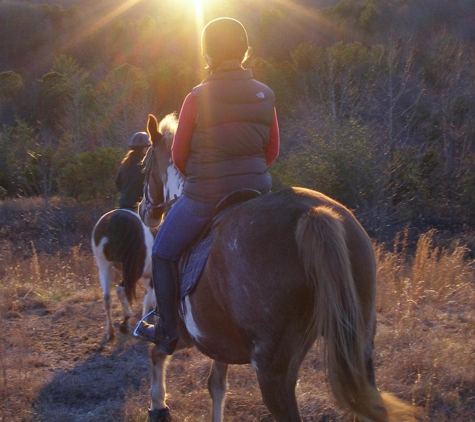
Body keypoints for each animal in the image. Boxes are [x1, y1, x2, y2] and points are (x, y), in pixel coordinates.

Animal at [93, 209, 158, 342]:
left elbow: (149, 299)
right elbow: (152, 300)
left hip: (103, 266)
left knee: (107, 298)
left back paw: (110, 332)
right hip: (133, 272)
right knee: (120, 290)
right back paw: (125, 322)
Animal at [138, 113, 420, 422]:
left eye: (144, 165)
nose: (143, 210)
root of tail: (313, 214)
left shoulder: (183, 331)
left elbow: (157, 353)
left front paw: (158, 406)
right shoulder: (217, 340)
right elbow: (217, 386)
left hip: (273, 369)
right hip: (358, 348)